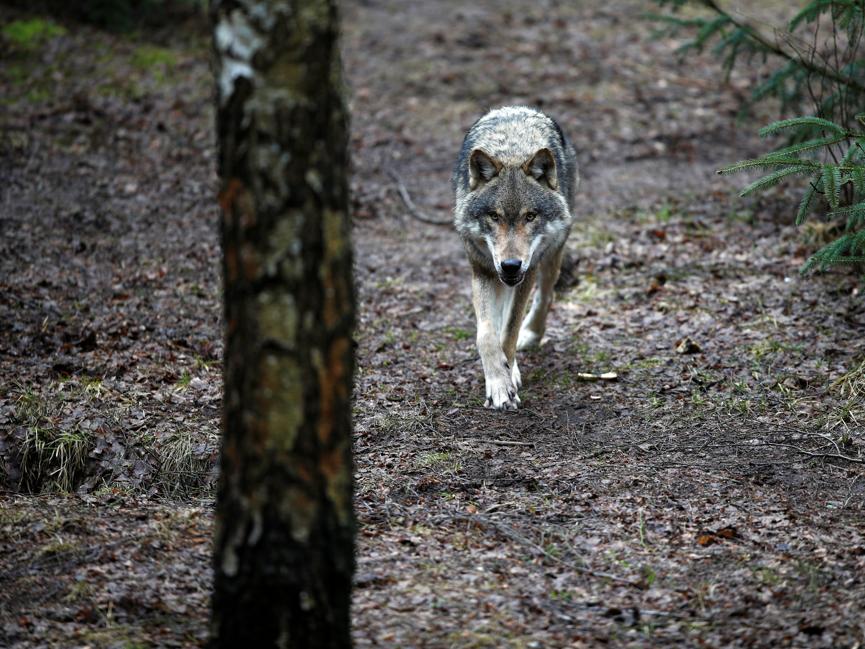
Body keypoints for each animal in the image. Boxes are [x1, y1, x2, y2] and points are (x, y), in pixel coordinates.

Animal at [448, 106, 576, 410]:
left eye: (530, 216)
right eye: (494, 216)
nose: (510, 265)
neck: (512, 153)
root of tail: (518, 108)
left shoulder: (526, 274)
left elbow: (509, 331)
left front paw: (505, 381)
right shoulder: (482, 271)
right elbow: (486, 335)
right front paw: (498, 381)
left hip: (551, 254)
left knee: (546, 294)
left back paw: (531, 335)